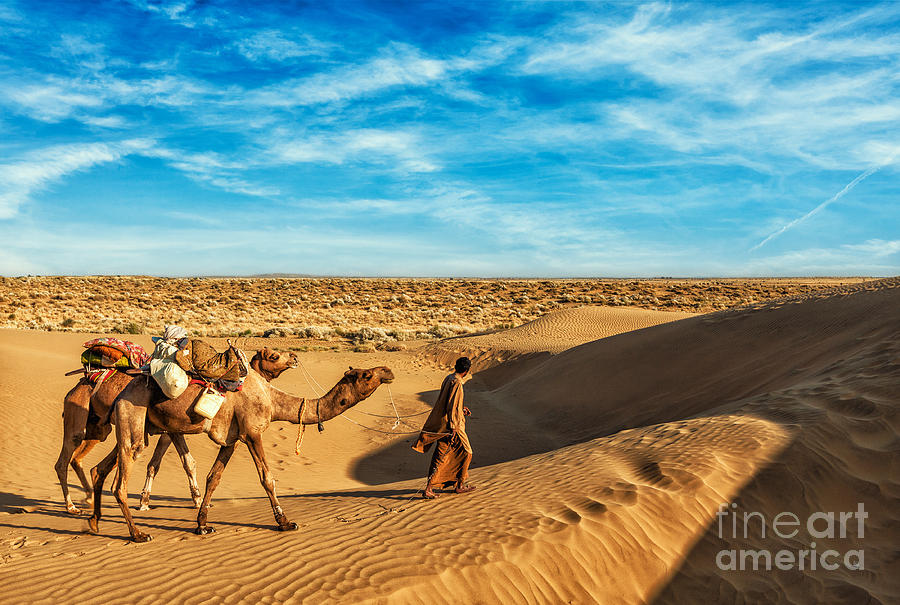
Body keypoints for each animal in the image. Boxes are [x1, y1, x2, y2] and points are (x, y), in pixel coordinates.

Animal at [54, 344, 298, 516]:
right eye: (274, 356)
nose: (294, 357)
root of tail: (78, 384)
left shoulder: (169, 432)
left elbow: (173, 463)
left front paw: (152, 500)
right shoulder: (169, 431)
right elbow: (172, 464)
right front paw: (155, 501)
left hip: (98, 429)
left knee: (81, 459)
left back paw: (88, 498)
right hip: (79, 419)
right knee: (64, 459)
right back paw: (72, 505)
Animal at [89, 364, 394, 544]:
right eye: (367, 375)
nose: (388, 370)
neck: (272, 399)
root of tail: (119, 393)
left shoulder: (232, 440)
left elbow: (214, 477)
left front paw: (202, 525)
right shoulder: (252, 432)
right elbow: (267, 478)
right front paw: (285, 522)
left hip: (138, 425)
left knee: (100, 468)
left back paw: (94, 522)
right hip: (134, 416)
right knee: (120, 483)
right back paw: (138, 534)